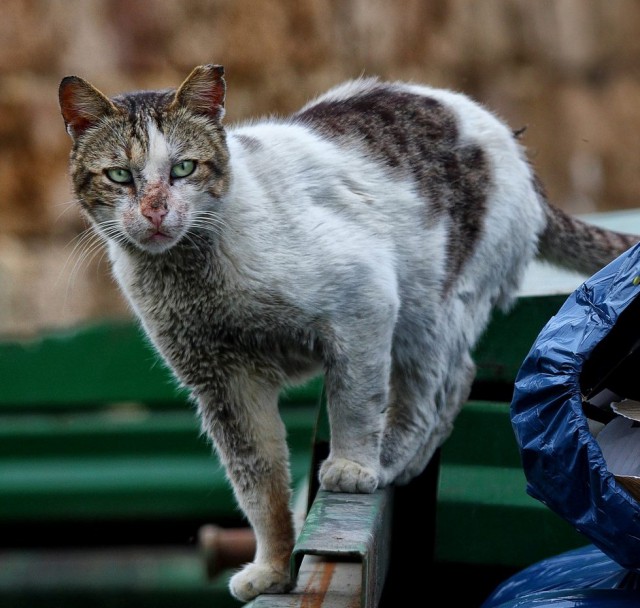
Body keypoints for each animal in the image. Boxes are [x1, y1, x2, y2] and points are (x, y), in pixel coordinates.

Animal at [57, 64, 636, 600]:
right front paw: (273, 569)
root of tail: (515, 150)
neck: (193, 274)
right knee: (455, 381)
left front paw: (353, 465)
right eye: (120, 176)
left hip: (428, 308)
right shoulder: (223, 386)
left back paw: (394, 457)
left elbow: (353, 402)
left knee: (438, 387)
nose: (155, 212)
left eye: (183, 168)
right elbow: (259, 486)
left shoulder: (362, 303)